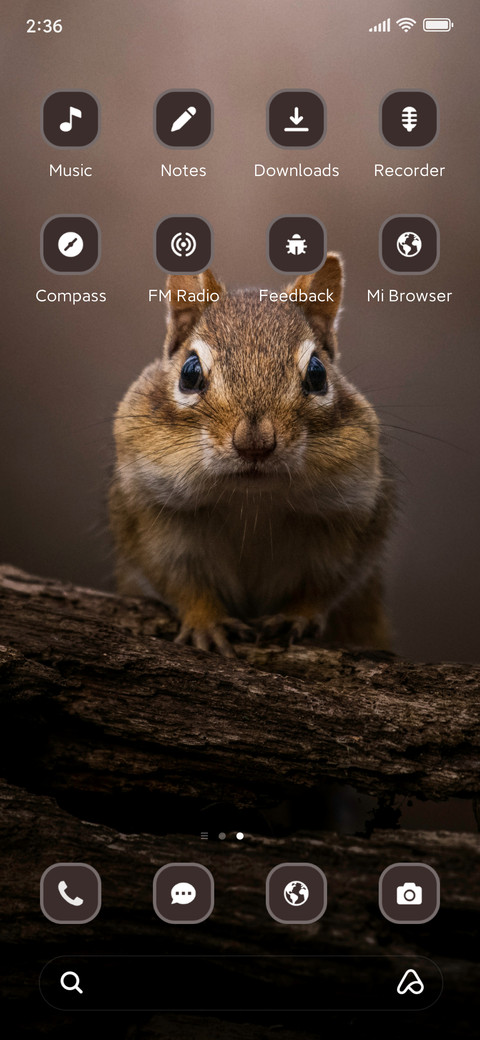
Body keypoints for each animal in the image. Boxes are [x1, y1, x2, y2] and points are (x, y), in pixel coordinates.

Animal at [110, 255, 394, 656]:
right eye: (189, 373)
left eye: (318, 374)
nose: (255, 445)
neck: (251, 501)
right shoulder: (150, 516)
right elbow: (179, 582)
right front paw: (206, 622)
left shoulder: (353, 516)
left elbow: (326, 584)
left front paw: (297, 615)